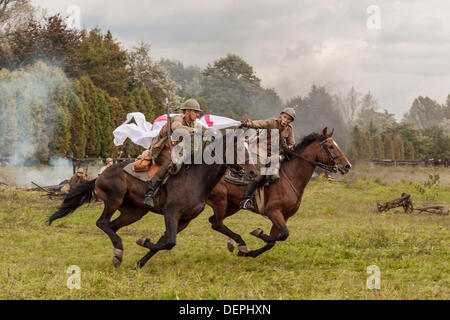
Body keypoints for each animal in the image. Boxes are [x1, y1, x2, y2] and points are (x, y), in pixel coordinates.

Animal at [207, 127, 352, 258]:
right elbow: (283, 234)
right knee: (217, 223)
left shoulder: (284, 216)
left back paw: (233, 243)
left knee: (214, 222)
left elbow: (275, 240)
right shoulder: (273, 212)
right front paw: (258, 233)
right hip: (221, 201)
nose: (347, 166)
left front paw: (250, 252)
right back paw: (239, 242)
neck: (291, 177)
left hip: (232, 205)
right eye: (331, 147)